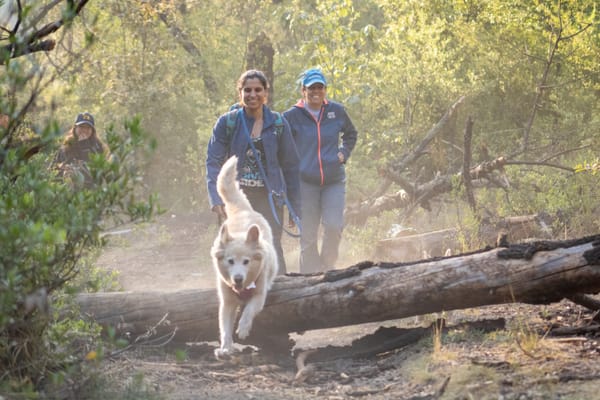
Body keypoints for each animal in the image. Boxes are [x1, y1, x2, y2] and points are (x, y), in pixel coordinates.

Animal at [210, 155, 278, 358]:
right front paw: (225, 347)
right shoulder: (226, 301)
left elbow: (248, 310)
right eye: (230, 261)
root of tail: (242, 210)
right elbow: (224, 326)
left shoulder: (259, 294)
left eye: (246, 262)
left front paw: (243, 329)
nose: (238, 278)